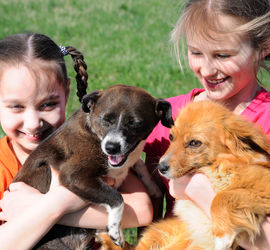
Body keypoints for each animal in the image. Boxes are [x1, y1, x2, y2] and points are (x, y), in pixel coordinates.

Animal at [12, 84, 173, 250]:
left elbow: (138, 166)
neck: (95, 134)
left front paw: (152, 185)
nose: (111, 148)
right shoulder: (74, 175)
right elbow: (117, 197)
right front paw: (115, 230)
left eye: (134, 123)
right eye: (105, 119)